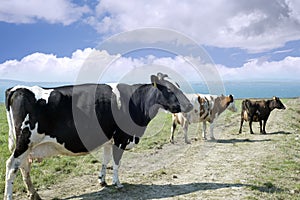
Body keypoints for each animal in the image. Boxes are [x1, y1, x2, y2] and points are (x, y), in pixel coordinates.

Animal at [4, 73, 192, 200]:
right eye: (169, 89)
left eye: (178, 85)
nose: (190, 105)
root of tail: (17, 88)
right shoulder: (121, 138)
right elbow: (116, 162)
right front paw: (117, 183)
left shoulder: (109, 139)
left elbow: (106, 160)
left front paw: (103, 181)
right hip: (24, 140)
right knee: (11, 166)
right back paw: (10, 196)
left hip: (27, 145)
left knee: (23, 167)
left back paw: (34, 193)